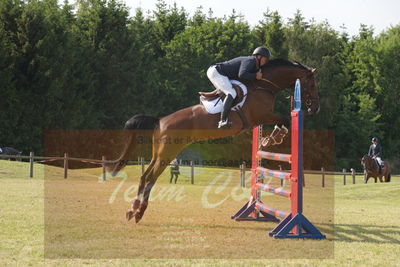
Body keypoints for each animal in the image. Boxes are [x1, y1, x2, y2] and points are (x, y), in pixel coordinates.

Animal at [108, 59, 320, 224]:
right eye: (312, 85)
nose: (315, 108)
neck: (263, 85)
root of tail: (159, 121)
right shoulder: (262, 115)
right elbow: (284, 120)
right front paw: (273, 138)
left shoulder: (262, 118)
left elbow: (281, 122)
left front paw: (269, 139)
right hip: (167, 155)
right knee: (150, 178)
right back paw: (139, 212)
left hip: (159, 154)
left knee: (145, 176)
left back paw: (132, 210)